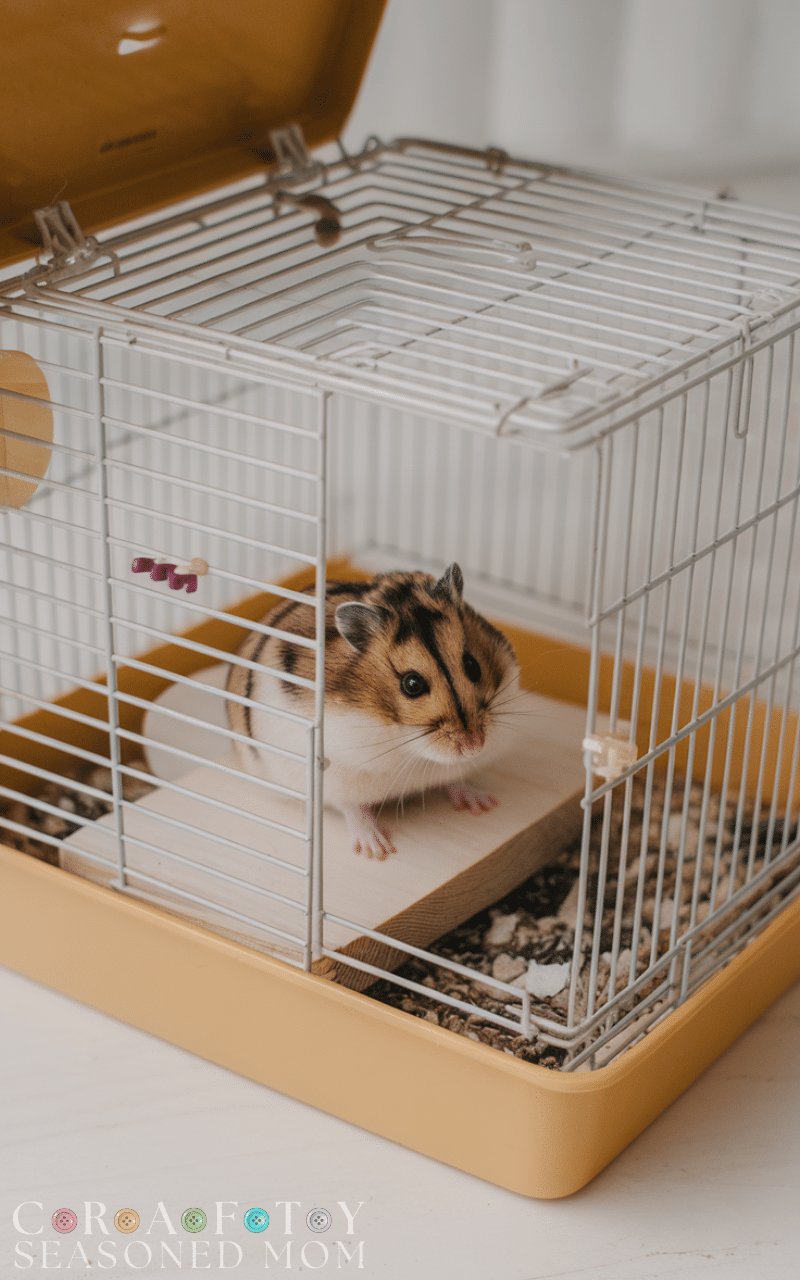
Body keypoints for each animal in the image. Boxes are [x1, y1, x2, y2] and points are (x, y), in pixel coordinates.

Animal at [226, 565, 521, 860]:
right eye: (411, 684)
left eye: (472, 666)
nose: (475, 747)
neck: (407, 748)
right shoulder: (334, 776)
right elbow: (352, 809)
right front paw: (379, 852)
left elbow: (455, 779)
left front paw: (485, 805)